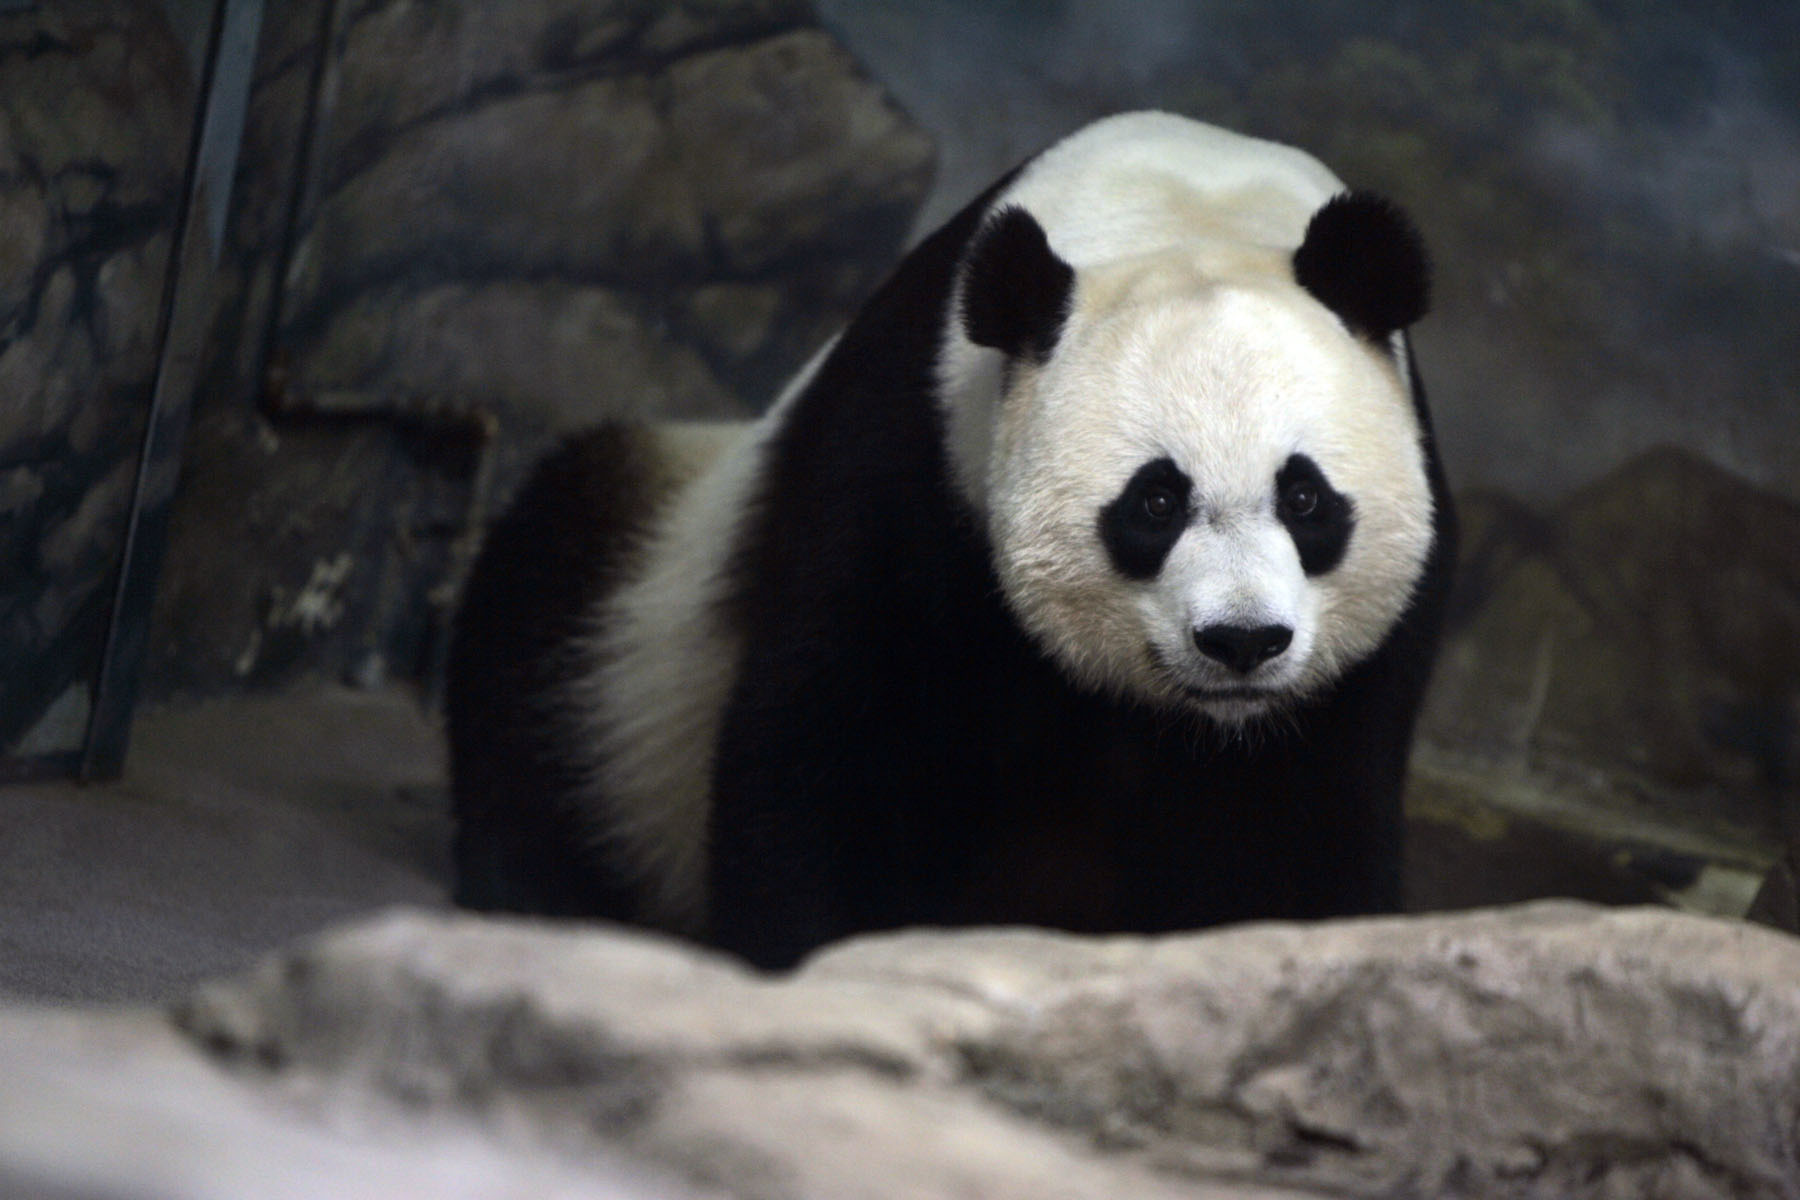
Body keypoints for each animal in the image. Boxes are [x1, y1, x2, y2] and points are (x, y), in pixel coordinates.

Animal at [447, 111, 1456, 971]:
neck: (1183, 210)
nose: (1242, 641)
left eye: (1305, 498)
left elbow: (1303, 832)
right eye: (1156, 502)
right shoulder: (908, 467)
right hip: (627, 611)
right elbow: (824, 751)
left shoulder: (1371, 647)